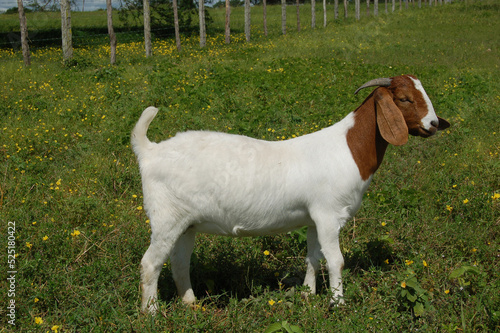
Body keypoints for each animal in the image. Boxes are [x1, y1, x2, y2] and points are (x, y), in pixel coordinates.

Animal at [132, 74, 450, 312]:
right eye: (405, 98)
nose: (434, 124)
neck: (348, 149)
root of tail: (150, 151)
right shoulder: (328, 215)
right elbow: (336, 260)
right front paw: (338, 303)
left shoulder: (312, 220)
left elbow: (313, 257)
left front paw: (308, 294)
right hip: (166, 218)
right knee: (150, 263)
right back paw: (152, 313)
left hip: (187, 223)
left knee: (178, 262)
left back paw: (191, 303)